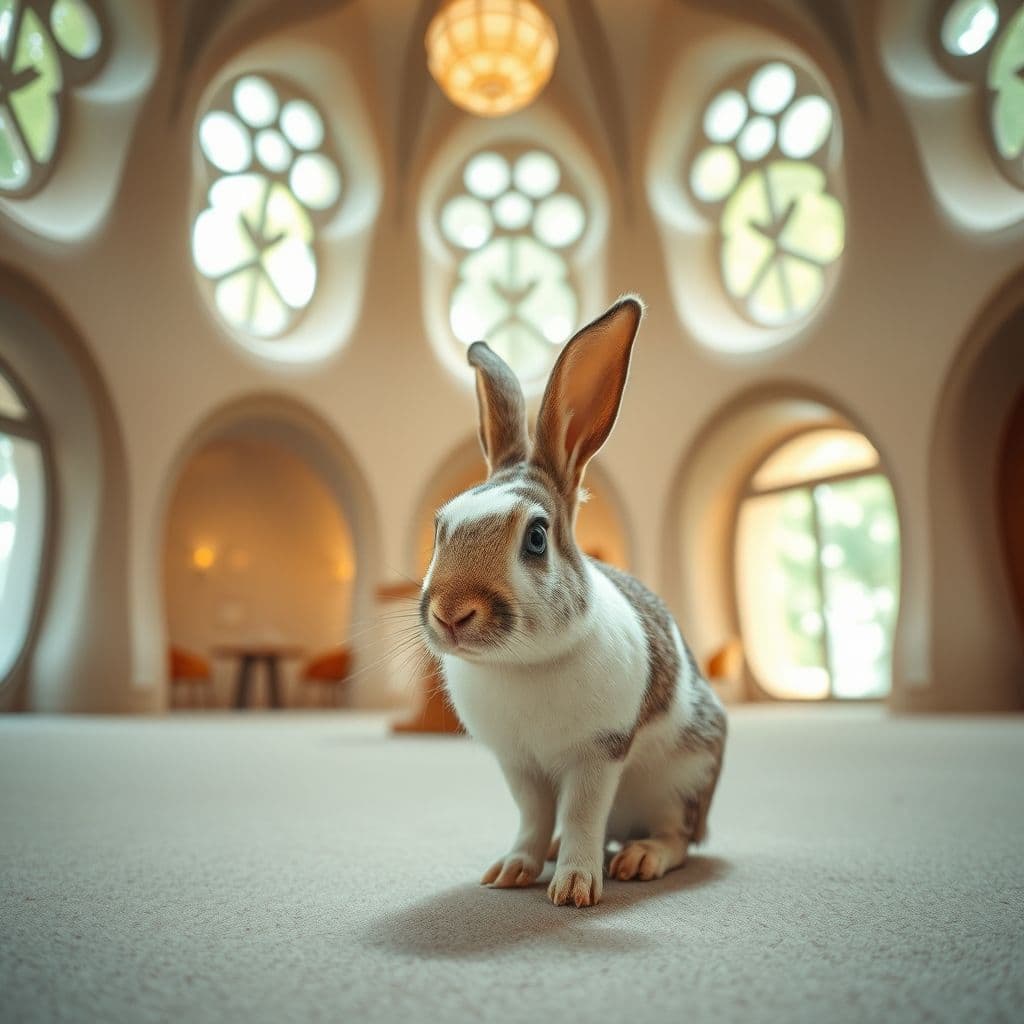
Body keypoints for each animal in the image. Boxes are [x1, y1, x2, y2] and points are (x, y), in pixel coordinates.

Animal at [419, 296, 726, 908]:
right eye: (441, 526)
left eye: (536, 537)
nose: (450, 611)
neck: (522, 664)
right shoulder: (519, 765)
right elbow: (533, 819)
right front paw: (512, 870)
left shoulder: (596, 756)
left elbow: (582, 815)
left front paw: (576, 888)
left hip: (683, 779)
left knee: (678, 838)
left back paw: (638, 858)